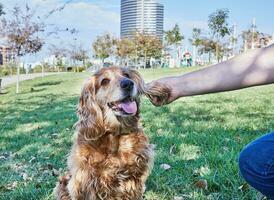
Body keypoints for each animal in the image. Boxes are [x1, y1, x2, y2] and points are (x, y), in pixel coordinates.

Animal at [54, 67, 169, 200]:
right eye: (104, 81)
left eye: (126, 75)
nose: (128, 84)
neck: (114, 134)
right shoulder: (83, 182)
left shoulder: (134, 180)